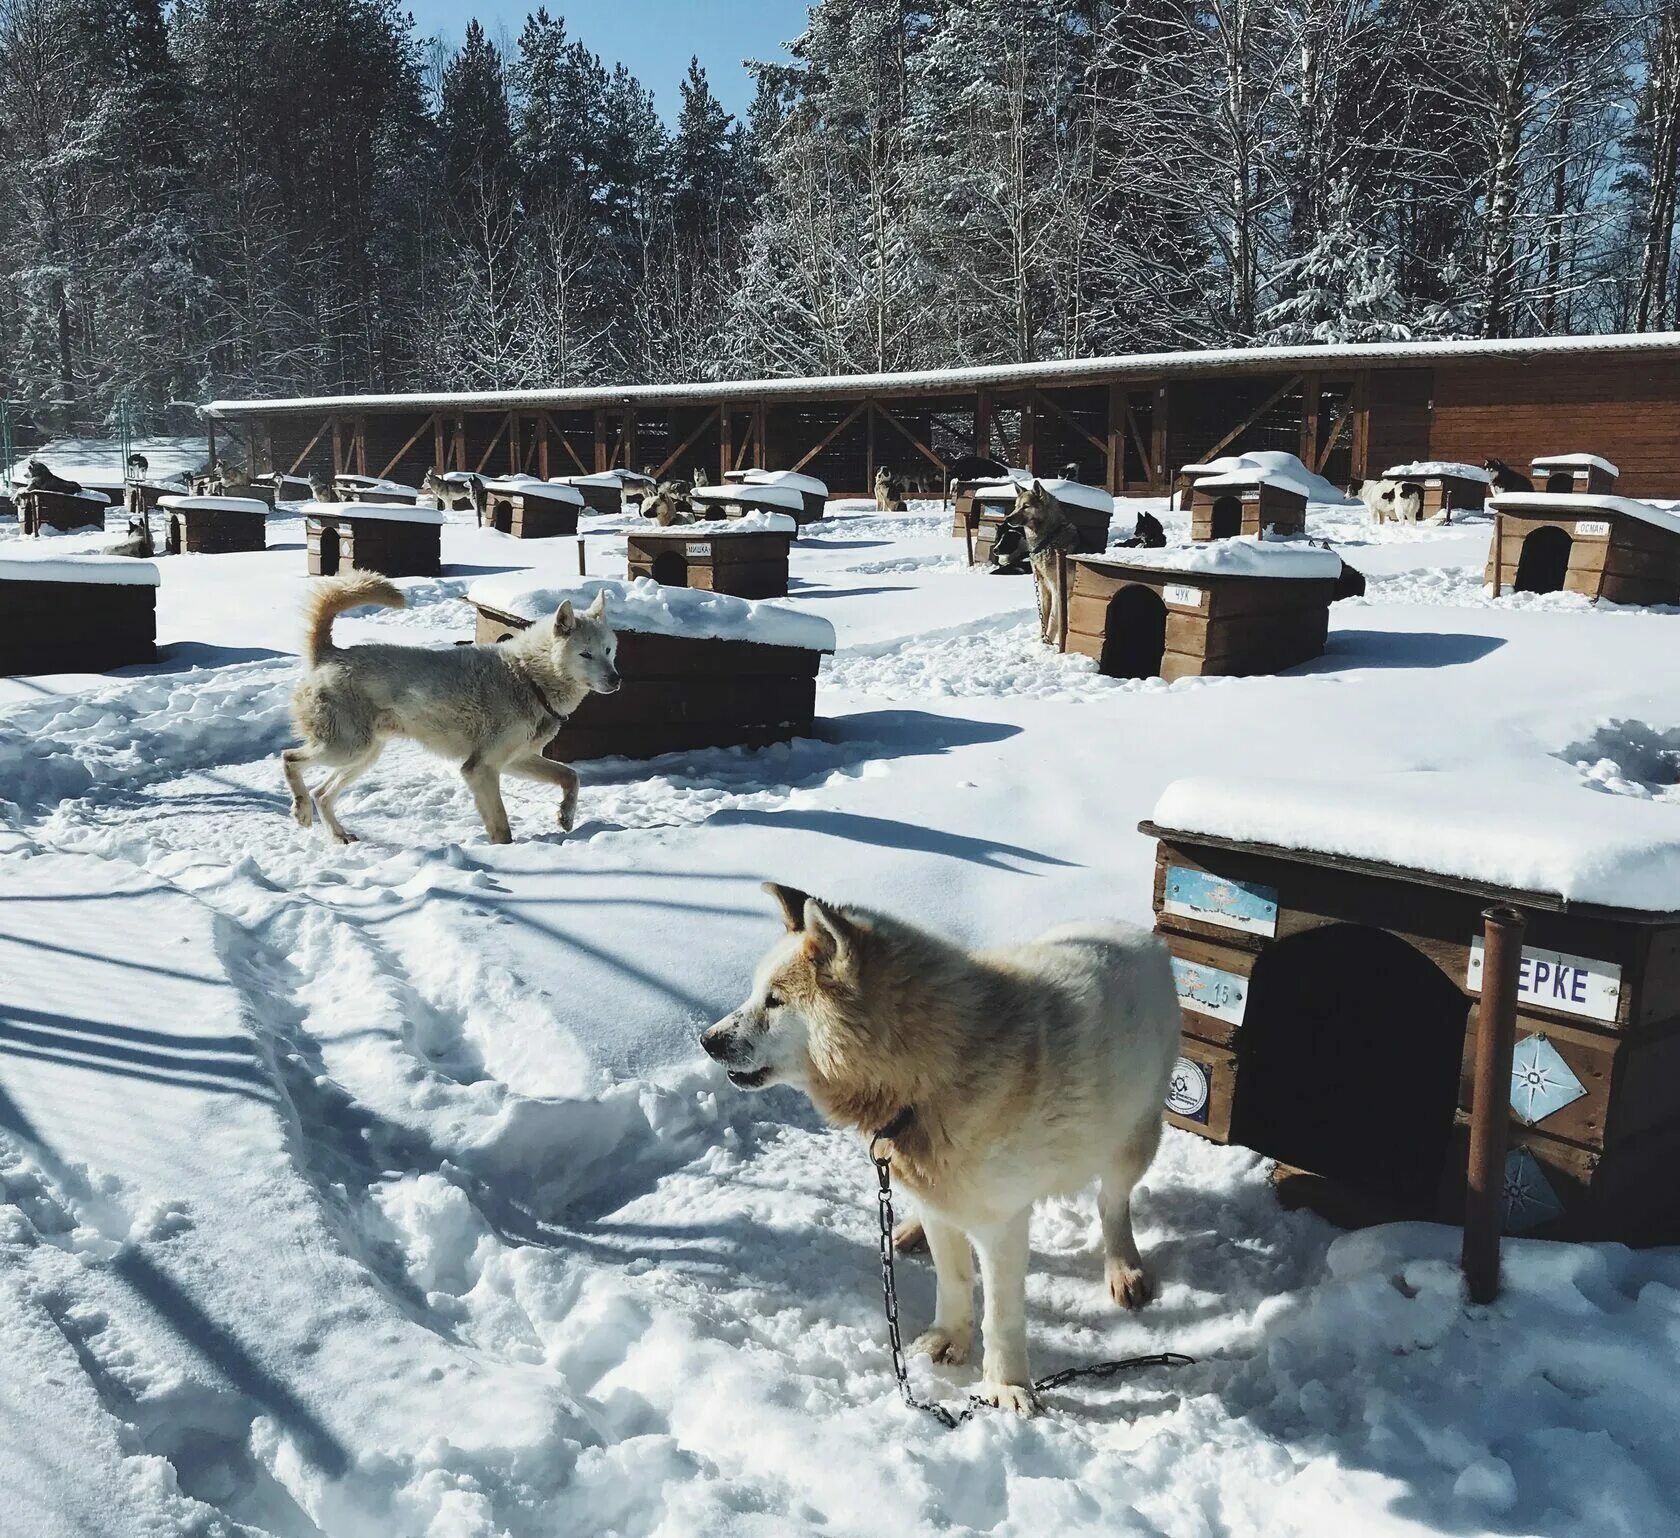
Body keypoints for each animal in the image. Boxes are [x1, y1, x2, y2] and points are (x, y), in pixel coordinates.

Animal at [282, 574, 624, 847]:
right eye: (585, 654)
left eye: (608, 650)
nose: (616, 679)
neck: (527, 677)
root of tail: (330, 653)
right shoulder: (481, 768)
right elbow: (502, 827)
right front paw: (506, 854)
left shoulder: (517, 760)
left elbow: (571, 777)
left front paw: (565, 816)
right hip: (346, 748)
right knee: (291, 759)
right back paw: (301, 809)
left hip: (363, 755)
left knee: (322, 793)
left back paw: (338, 835)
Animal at [702, 880, 1176, 1411]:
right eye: (756, 993)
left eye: (775, 1001)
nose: (706, 1040)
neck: (931, 1078)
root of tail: (1139, 934)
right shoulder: (938, 1200)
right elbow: (952, 1280)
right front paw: (949, 1338)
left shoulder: (1002, 1225)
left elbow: (1001, 1315)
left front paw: (1006, 1387)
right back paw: (909, 1231)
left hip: (1132, 1138)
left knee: (1112, 1203)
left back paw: (1123, 1268)